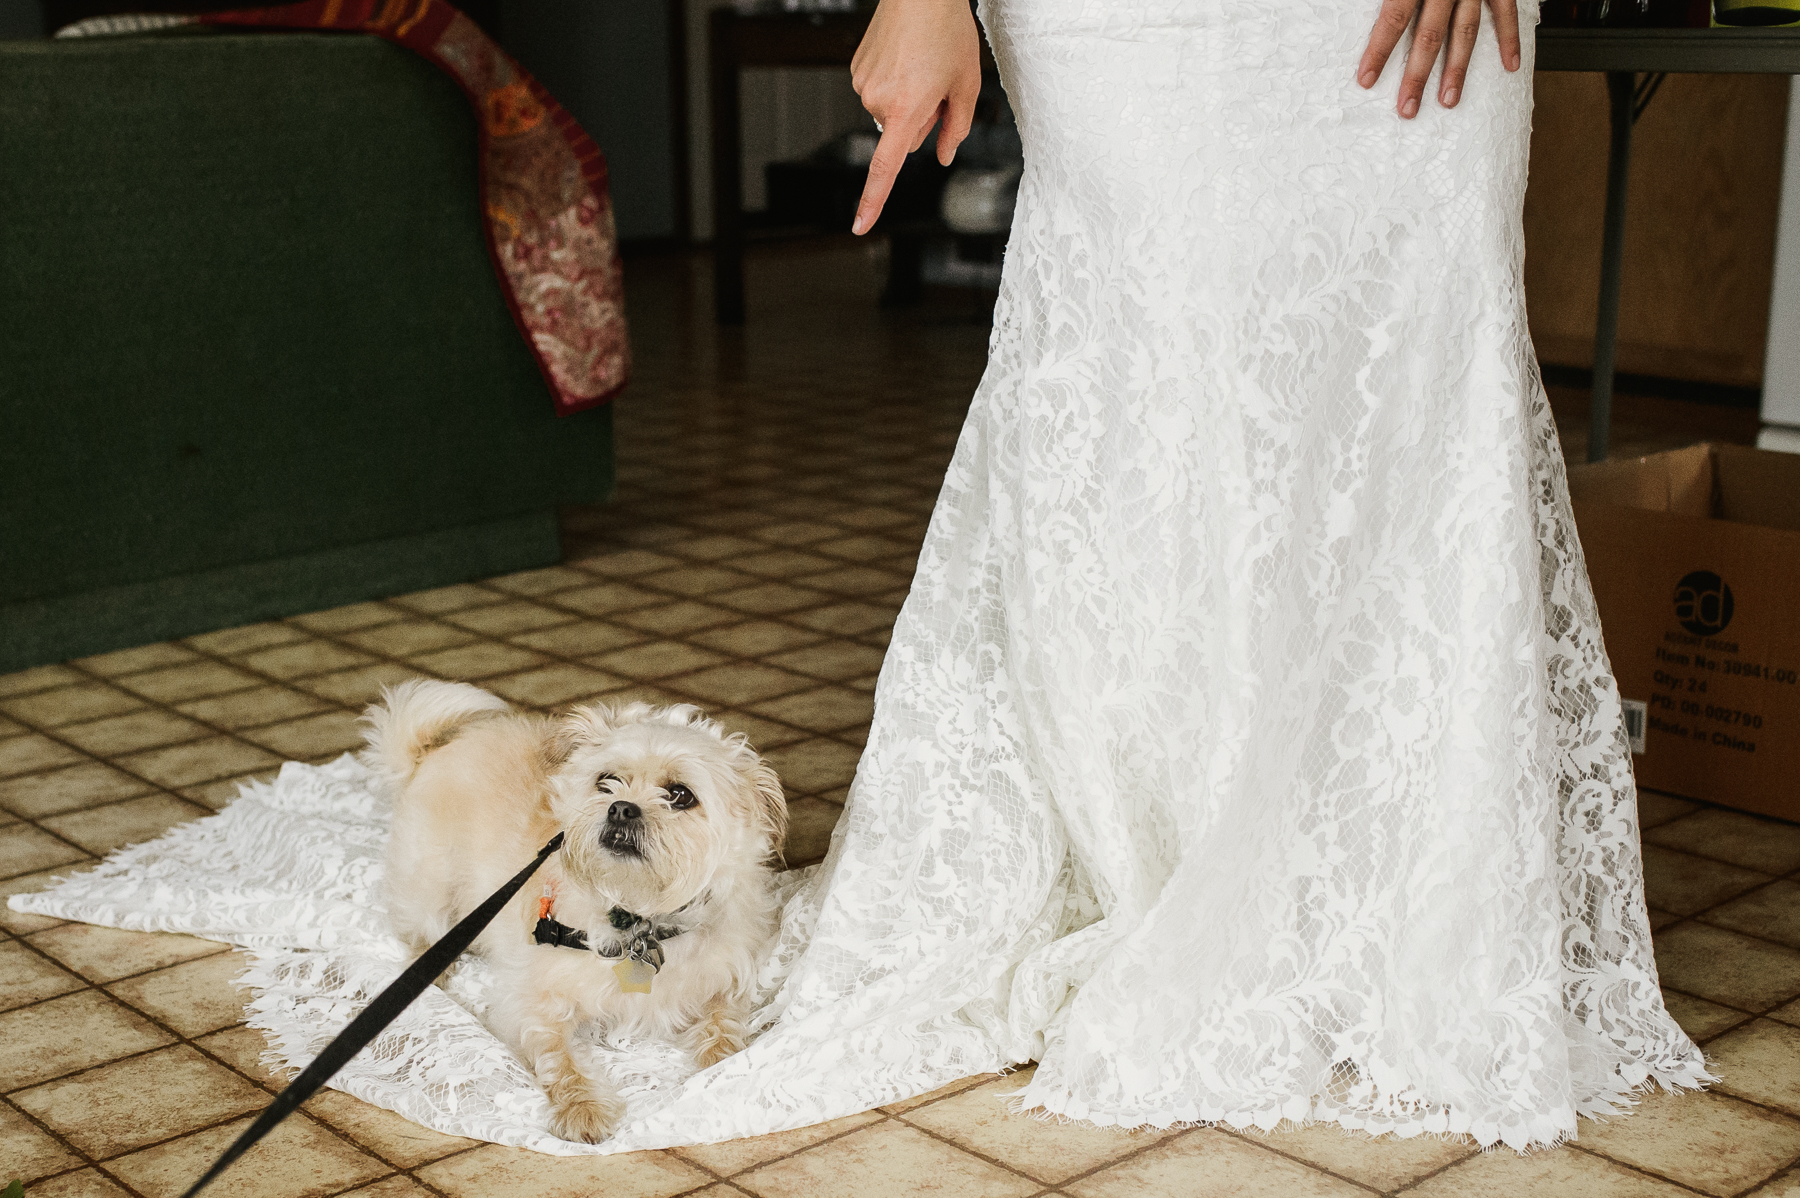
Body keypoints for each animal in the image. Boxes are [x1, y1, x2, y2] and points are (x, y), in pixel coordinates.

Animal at [361, 679, 784, 1136]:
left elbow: (724, 1025)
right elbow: (559, 1057)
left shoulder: (727, 981)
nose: (621, 808)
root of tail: (431, 748)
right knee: (421, 931)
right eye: (607, 781)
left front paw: (725, 1068)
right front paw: (583, 1108)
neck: (637, 916)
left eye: (680, 795)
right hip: (430, 883)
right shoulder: (531, 1001)